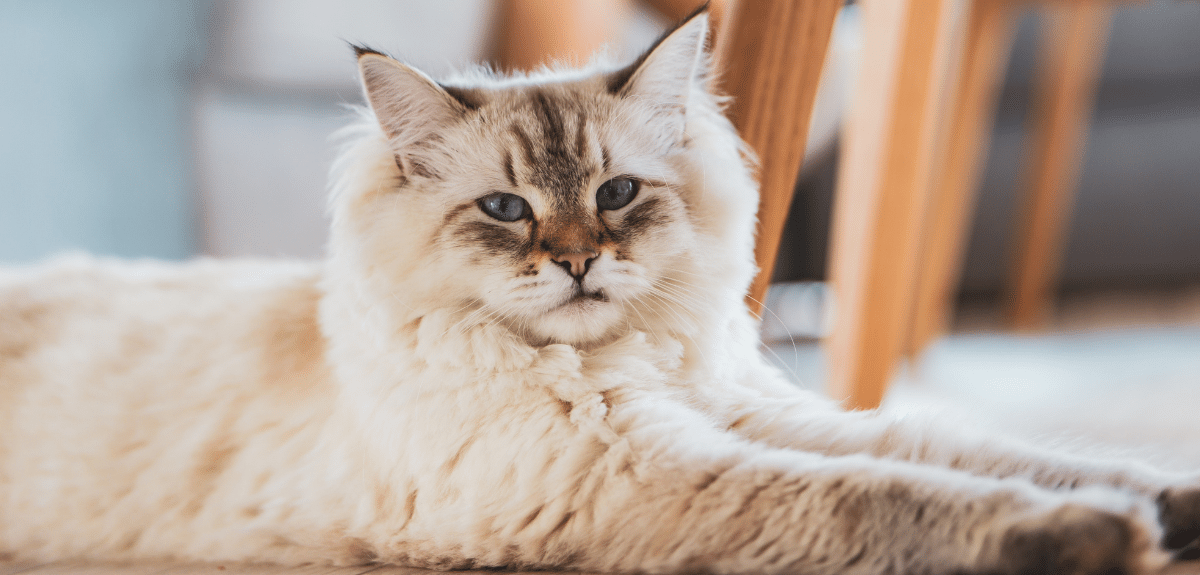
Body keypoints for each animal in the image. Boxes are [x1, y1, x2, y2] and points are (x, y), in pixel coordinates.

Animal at [2, 9, 1200, 575]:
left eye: (617, 193)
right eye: (506, 210)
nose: (577, 260)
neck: (625, 363)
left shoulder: (757, 414)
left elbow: (988, 449)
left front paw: (1165, 505)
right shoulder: (644, 474)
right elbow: (897, 495)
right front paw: (1102, 534)